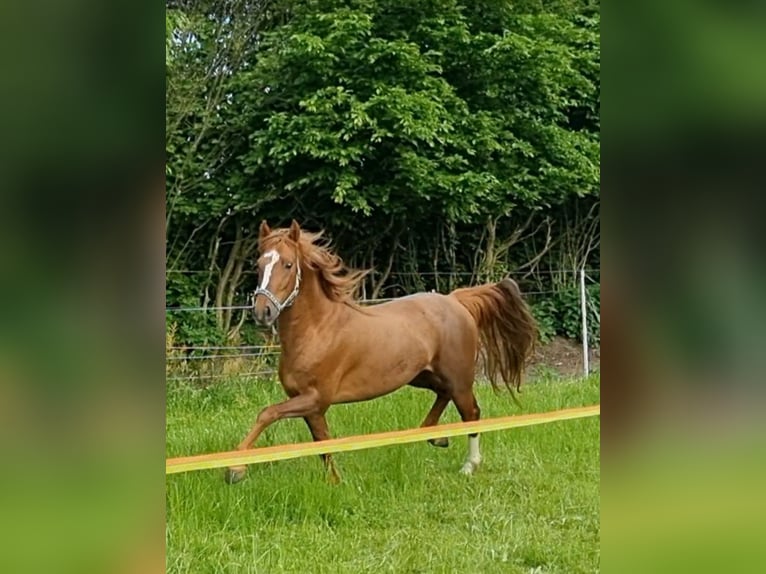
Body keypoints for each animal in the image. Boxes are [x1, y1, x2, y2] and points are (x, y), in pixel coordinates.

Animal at [224, 219, 537, 484]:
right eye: (258, 264)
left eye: (288, 264)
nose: (262, 312)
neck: (318, 330)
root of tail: (455, 300)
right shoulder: (312, 407)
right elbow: (323, 445)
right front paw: (335, 483)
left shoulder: (315, 398)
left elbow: (267, 413)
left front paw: (235, 469)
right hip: (422, 376)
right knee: (443, 395)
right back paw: (434, 436)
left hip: (459, 378)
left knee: (471, 413)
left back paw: (469, 465)